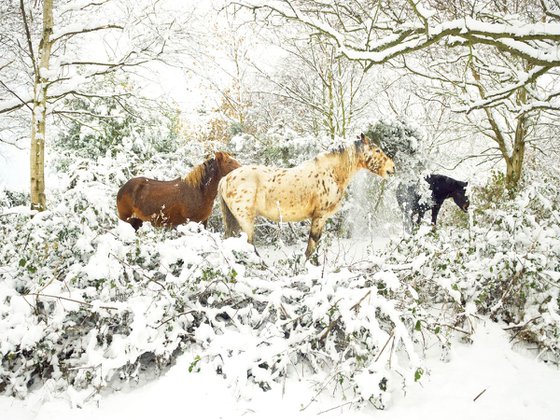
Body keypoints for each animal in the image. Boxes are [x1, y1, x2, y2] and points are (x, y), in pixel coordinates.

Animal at [217, 135, 396, 260]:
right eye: (377, 150)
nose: (392, 168)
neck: (332, 173)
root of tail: (225, 179)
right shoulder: (319, 216)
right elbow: (311, 246)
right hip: (245, 219)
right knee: (249, 245)